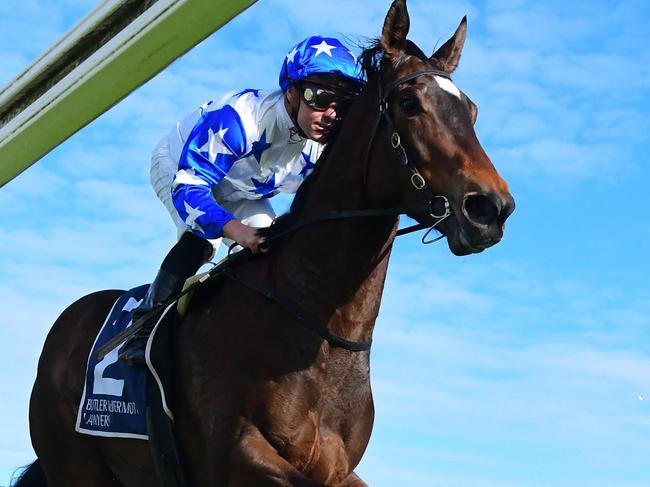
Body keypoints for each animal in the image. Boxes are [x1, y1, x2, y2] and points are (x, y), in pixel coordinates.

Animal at [12, 1, 512, 486]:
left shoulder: (338, 469)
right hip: (74, 466)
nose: (491, 207)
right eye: (409, 103)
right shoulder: (235, 457)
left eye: (471, 111)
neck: (316, 327)